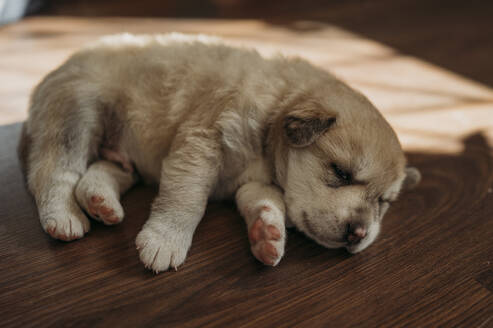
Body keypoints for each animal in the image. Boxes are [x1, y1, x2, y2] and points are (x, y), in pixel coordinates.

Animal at [18, 34, 418, 272]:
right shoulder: (203, 141)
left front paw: (268, 233)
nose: (358, 234)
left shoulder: (255, 182)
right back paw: (64, 216)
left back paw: (101, 202)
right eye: (341, 173)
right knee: (54, 171)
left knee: (101, 170)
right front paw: (165, 241)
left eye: (384, 202)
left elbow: (266, 202)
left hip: (125, 154)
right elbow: (186, 199)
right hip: (78, 112)